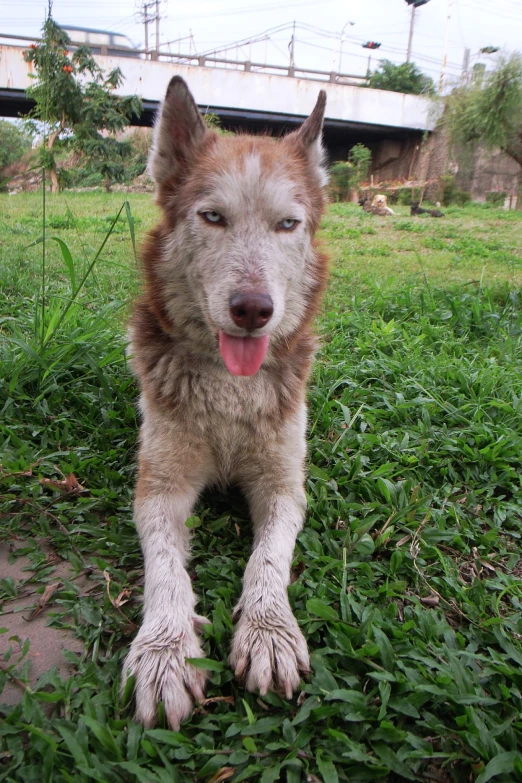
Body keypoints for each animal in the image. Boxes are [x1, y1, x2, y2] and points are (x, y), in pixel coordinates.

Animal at [122, 78, 328, 728]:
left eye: (288, 224)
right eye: (212, 217)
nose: (253, 309)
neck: (230, 392)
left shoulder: (284, 485)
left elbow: (269, 560)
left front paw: (268, 630)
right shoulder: (159, 488)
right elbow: (165, 569)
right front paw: (164, 648)